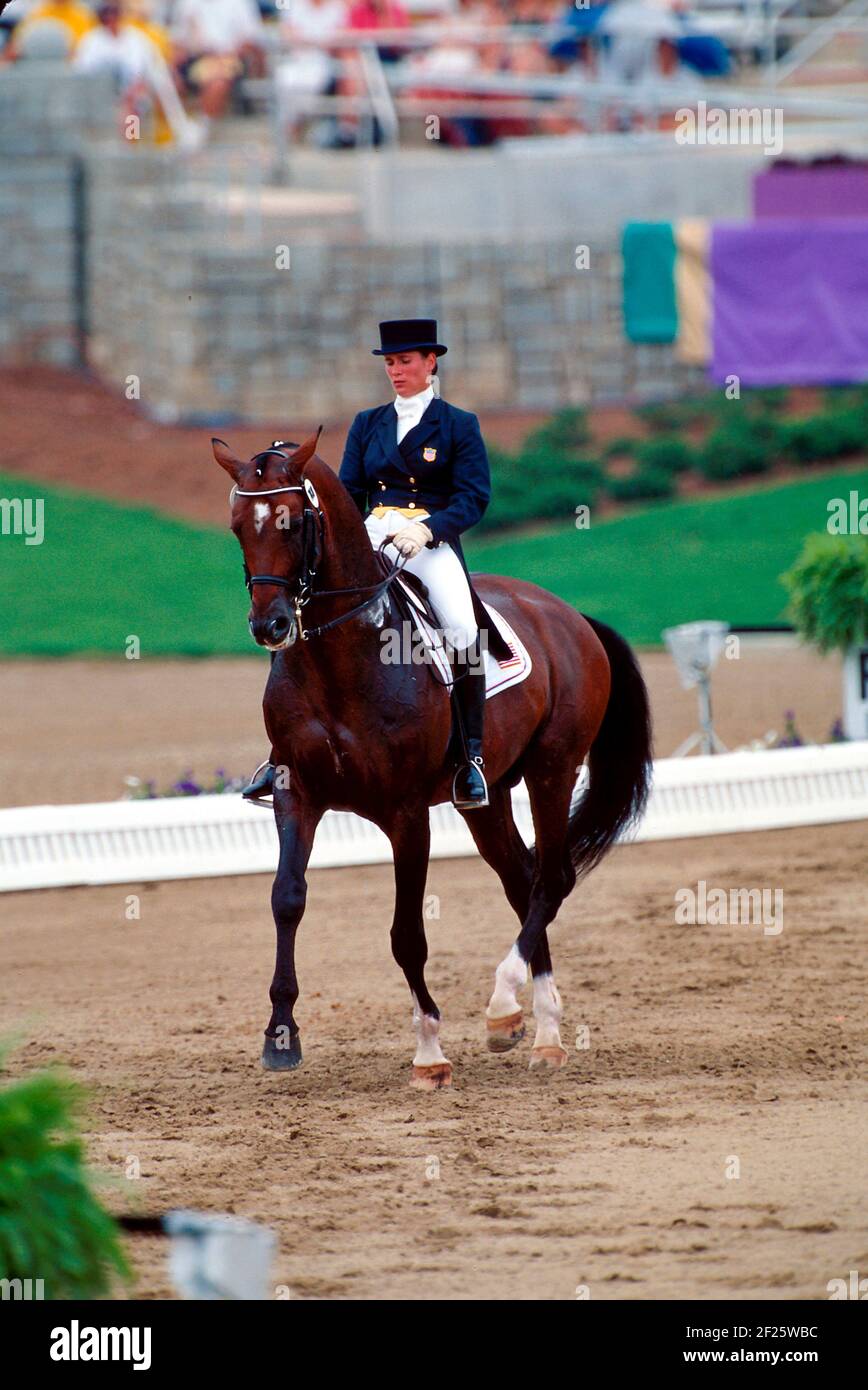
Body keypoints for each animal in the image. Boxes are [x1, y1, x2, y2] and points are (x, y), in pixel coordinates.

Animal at [215, 430, 651, 1084]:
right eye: (240, 525)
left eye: (294, 523)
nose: (270, 626)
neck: (340, 657)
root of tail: (568, 614)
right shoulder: (297, 794)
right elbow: (286, 899)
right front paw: (281, 1037)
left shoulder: (406, 813)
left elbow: (407, 935)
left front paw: (429, 1051)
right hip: (487, 798)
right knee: (523, 880)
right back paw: (534, 1026)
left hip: (552, 770)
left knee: (552, 878)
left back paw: (508, 1008)